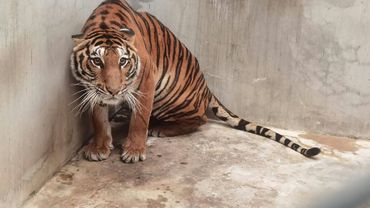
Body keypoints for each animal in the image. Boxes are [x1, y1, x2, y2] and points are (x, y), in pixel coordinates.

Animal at [71, 0, 320, 162]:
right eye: (96, 61)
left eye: (123, 61)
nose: (114, 92)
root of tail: (207, 89)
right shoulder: (93, 88)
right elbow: (99, 118)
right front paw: (99, 147)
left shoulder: (147, 78)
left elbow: (140, 119)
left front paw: (134, 150)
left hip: (170, 95)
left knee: (201, 119)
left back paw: (160, 128)